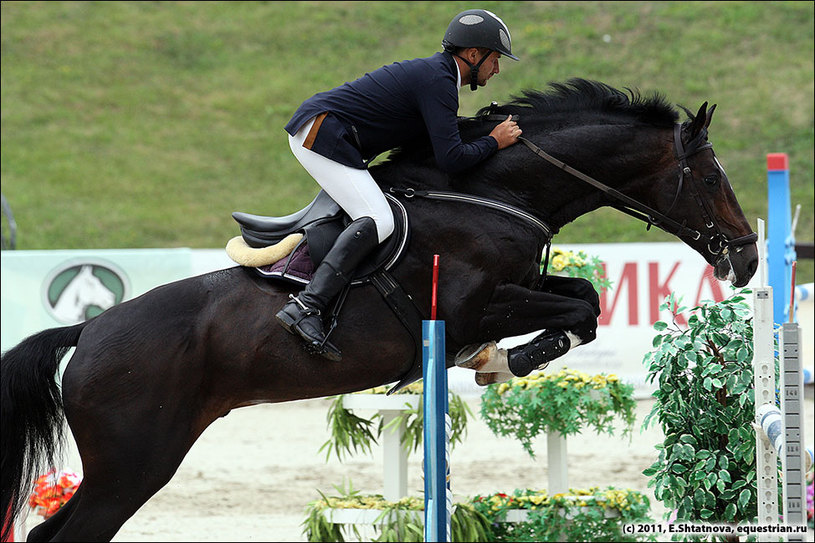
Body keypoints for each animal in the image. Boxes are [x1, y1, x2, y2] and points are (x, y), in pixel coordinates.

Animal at [3, 78, 760, 540]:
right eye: (711, 178)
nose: (749, 261)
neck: (495, 191)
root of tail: (88, 330)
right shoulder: (472, 307)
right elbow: (576, 310)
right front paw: (505, 360)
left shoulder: (510, 294)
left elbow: (584, 299)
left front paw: (503, 362)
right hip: (133, 462)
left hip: (135, 460)